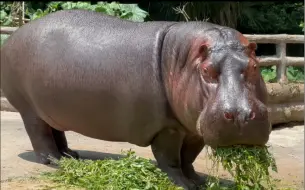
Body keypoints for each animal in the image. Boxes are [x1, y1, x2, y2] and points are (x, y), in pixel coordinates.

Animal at [1, 9, 270, 189]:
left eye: (256, 66)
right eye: (206, 70)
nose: (241, 115)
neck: (183, 60)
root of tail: (13, 36)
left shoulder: (193, 129)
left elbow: (189, 157)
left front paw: (197, 181)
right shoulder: (167, 128)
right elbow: (171, 159)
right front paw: (183, 184)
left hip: (50, 107)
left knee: (55, 129)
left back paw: (71, 155)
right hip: (29, 109)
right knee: (39, 135)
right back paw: (55, 161)